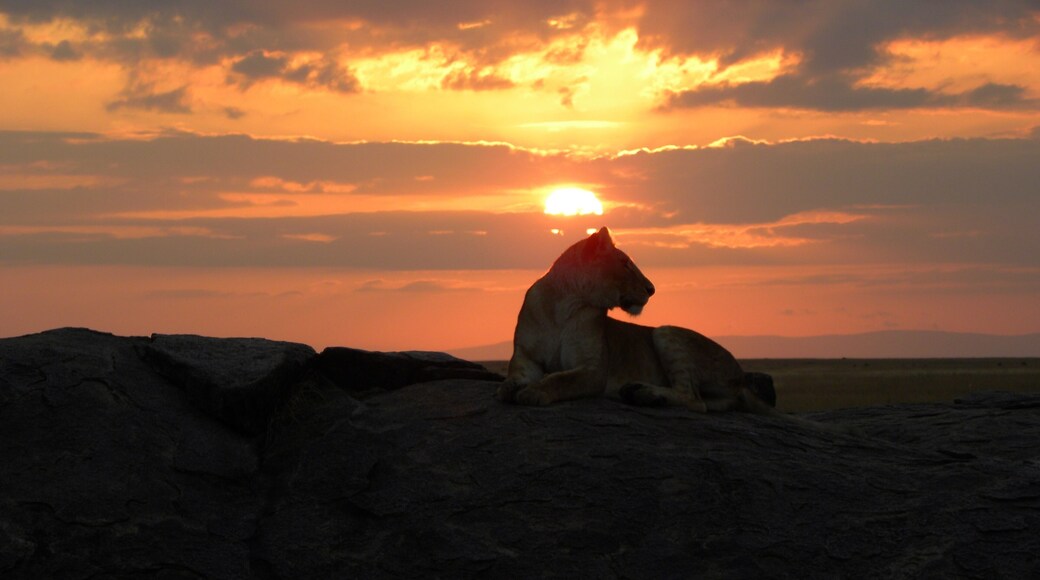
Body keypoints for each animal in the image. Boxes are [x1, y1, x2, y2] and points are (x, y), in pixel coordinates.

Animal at [497, 227, 836, 429]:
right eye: (625, 264)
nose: (652, 289)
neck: (565, 302)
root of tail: (741, 376)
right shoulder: (525, 355)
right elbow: (515, 376)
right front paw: (512, 387)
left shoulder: (593, 369)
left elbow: (560, 379)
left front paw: (534, 392)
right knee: (710, 403)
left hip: (664, 331)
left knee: (694, 400)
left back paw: (644, 393)